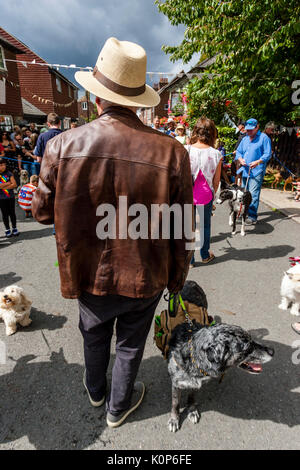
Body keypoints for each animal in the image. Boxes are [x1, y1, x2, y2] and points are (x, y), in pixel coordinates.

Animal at [166, 280, 274, 432]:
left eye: (251, 339)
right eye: (247, 348)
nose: (272, 351)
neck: (193, 358)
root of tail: (189, 281)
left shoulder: (196, 384)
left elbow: (192, 398)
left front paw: (192, 411)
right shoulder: (176, 385)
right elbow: (175, 404)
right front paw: (174, 419)